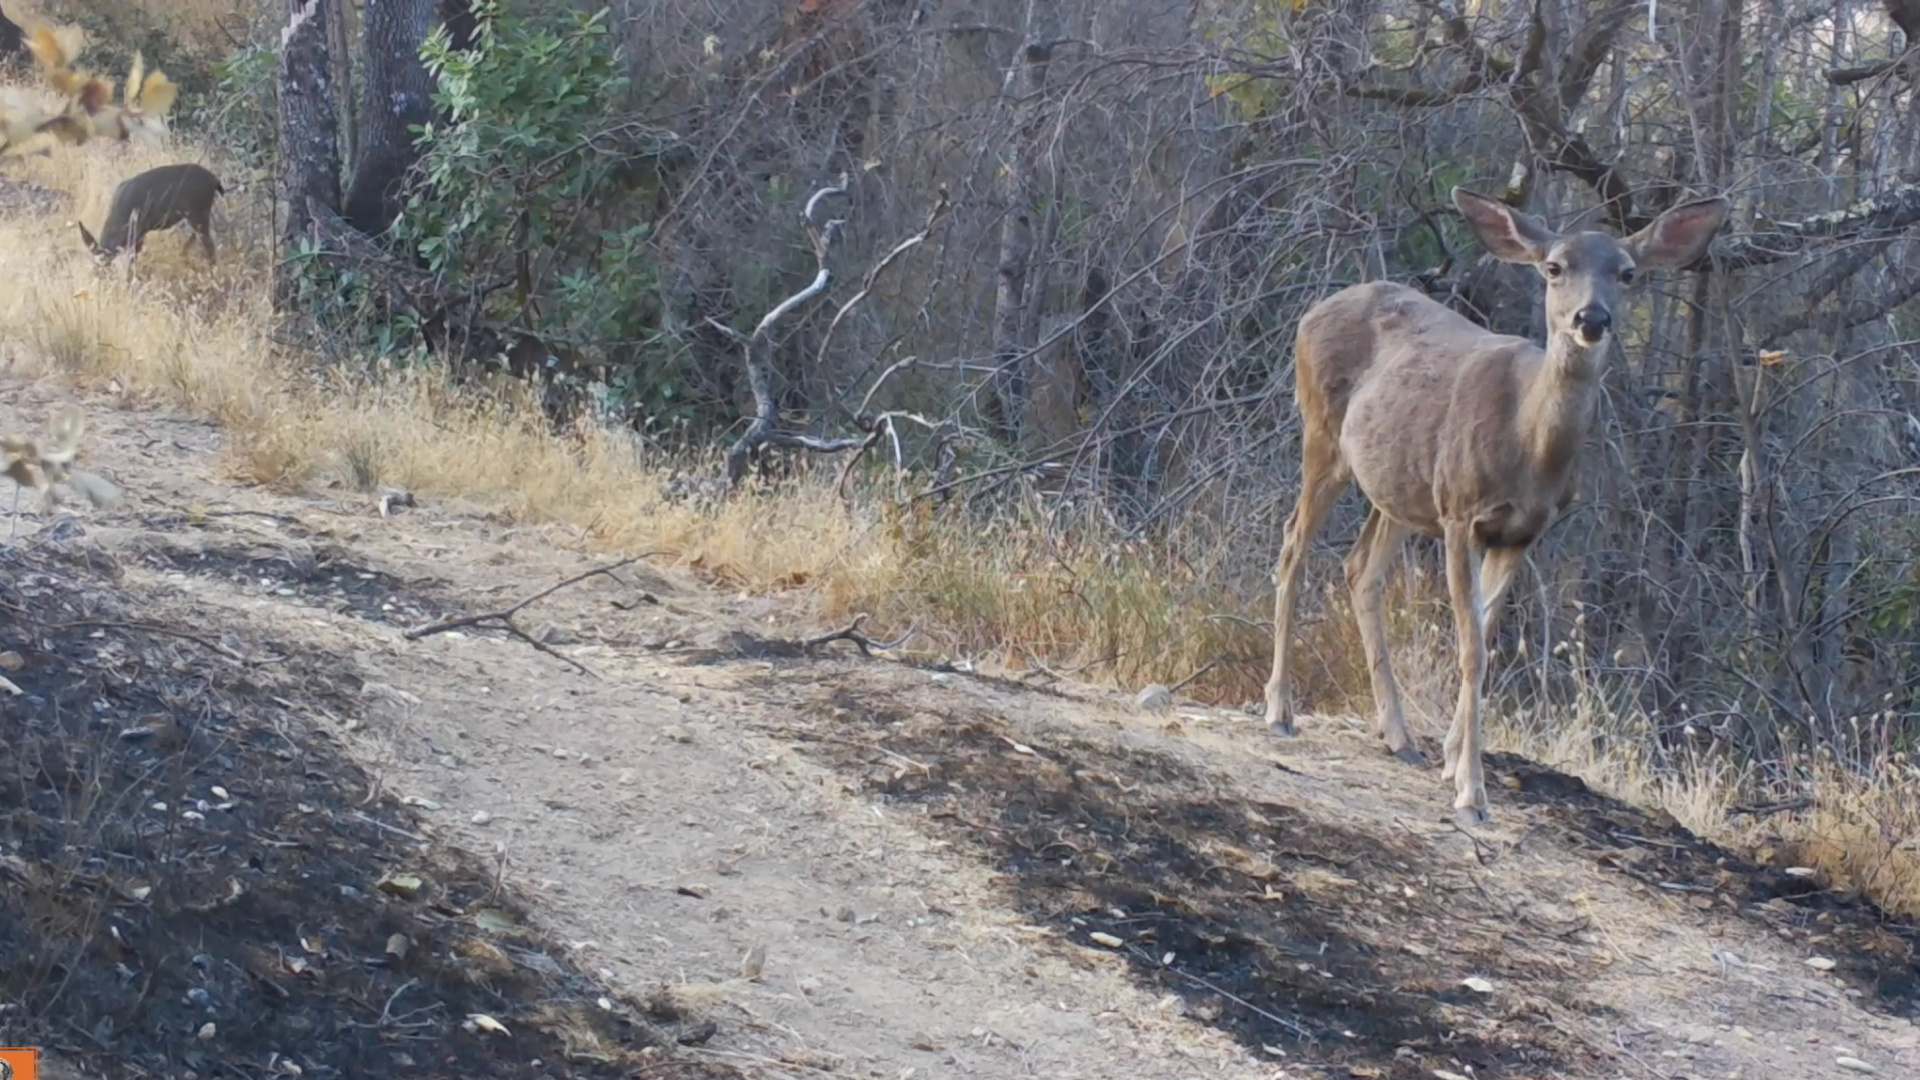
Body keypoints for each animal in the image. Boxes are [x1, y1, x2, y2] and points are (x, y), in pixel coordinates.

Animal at [1259, 187, 1728, 822]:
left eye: (1628, 273)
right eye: (1554, 268)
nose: (1592, 319)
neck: (1529, 446)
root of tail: (1313, 311)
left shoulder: (1523, 533)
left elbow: (1483, 637)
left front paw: (1453, 758)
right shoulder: (1462, 513)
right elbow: (1472, 650)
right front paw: (1470, 792)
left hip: (1401, 489)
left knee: (1359, 570)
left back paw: (1400, 737)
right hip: (1324, 436)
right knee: (1292, 545)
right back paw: (1280, 710)